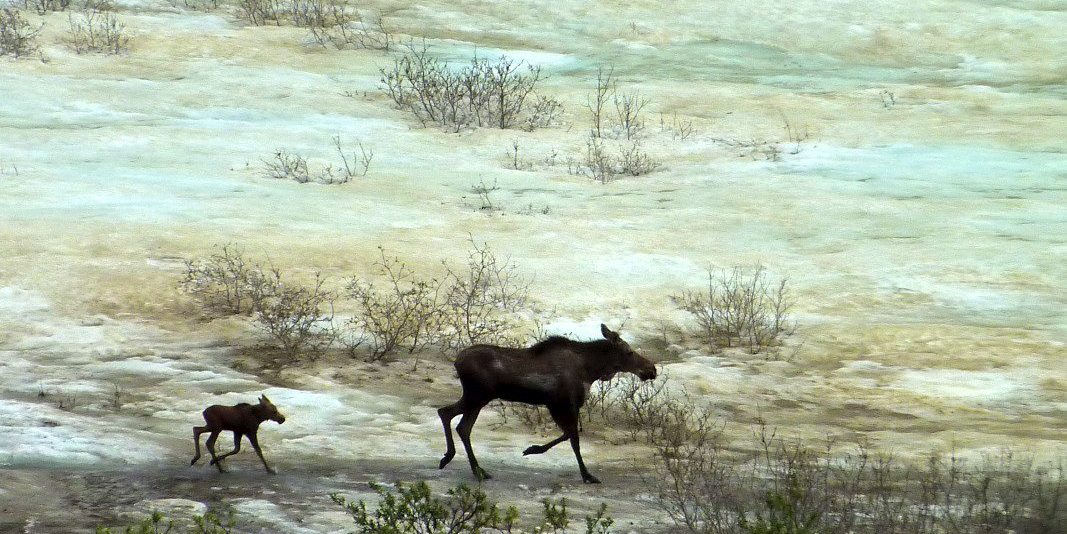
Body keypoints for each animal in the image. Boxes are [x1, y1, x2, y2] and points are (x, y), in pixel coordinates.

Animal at [435, 322, 653, 482]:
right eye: (629, 351)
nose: (652, 369)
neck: (590, 370)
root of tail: (457, 362)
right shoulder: (563, 402)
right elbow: (574, 439)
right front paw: (587, 475)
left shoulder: (556, 404)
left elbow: (568, 435)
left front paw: (533, 449)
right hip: (477, 396)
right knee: (458, 422)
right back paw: (472, 468)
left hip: (475, 398)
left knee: (450, 416)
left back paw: (457, 461)